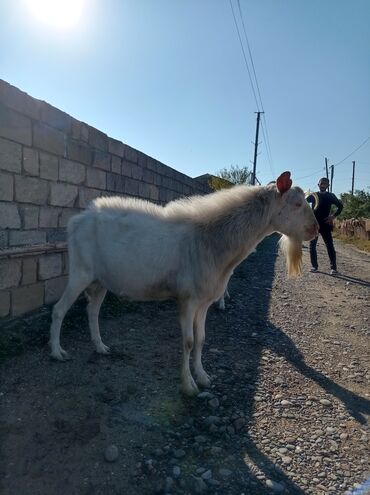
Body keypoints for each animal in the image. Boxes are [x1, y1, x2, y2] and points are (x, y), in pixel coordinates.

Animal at [50, 172, 320, 398]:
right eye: (297, 204)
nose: (315, 229)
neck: (211, 240)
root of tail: (77, 220)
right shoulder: (188, 299)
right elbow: (188, 341)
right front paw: (188, 386)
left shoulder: (204, 302)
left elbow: (201, 339)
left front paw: (203, 376)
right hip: (80, 272)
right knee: (59, 310)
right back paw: (57, 352)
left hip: (101, 280)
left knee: (92, 311)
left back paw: (100, 347)